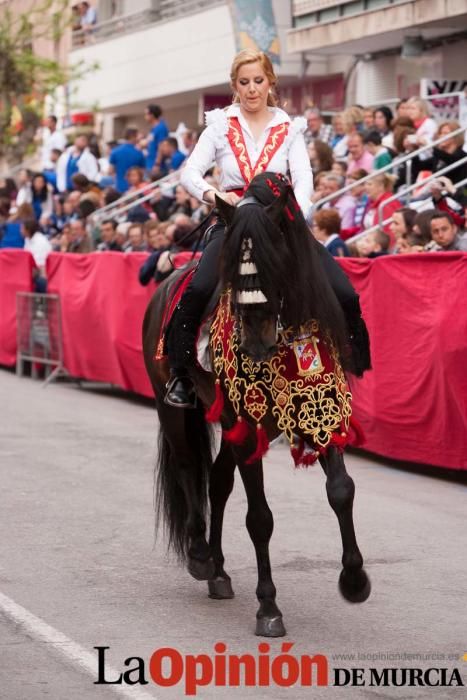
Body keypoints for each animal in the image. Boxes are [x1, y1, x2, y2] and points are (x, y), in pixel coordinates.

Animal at [144, 172, 372, 636]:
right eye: (232, 263)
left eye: (275, 258)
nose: (256, 339)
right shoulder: (248, 425)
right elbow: (260, 518)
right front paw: (268, 607)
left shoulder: (319, 410)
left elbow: (341, 490)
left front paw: (355, 580)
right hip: (174, 409)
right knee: (189, 469)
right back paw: (199, 556)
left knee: (216, 482)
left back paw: (218, 572)